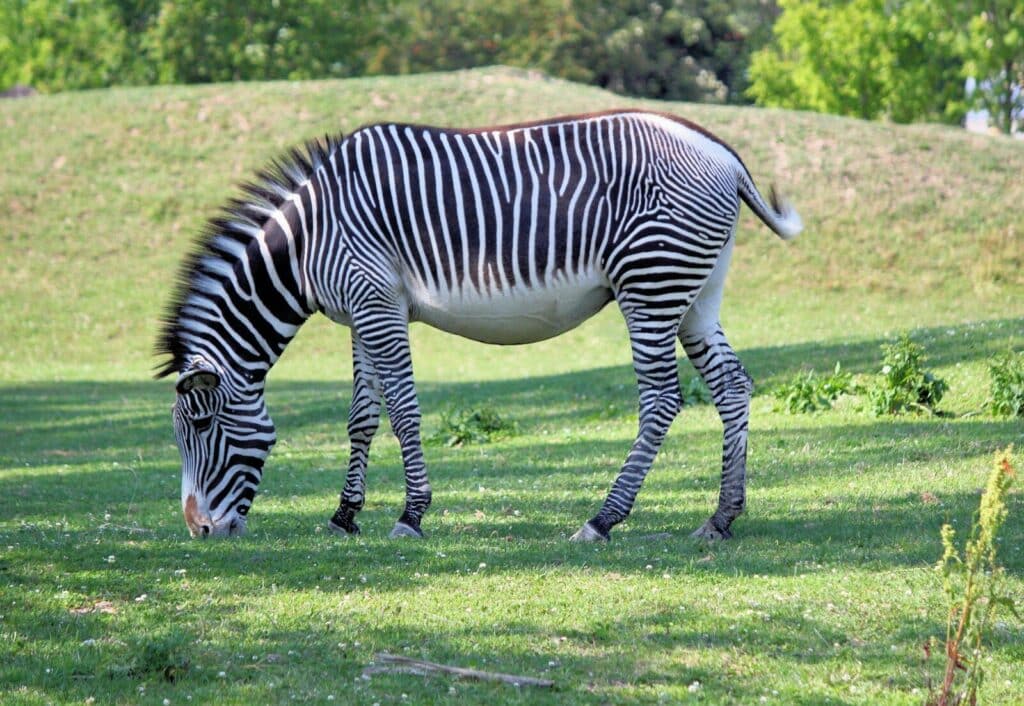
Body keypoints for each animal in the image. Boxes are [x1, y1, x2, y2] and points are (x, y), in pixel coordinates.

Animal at [156, 109, 801, 542]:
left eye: (203, 425)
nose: (197, 530)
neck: (306, 241)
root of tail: (723, 155)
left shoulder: (378, 305)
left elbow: (403, 411)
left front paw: (411, 514)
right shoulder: (360, 315)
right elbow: (362, 418)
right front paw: (344, 516)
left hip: (651, 283)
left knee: (663, 398)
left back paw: (603, 519)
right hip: (696, 292)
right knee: (732, 386)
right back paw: (721, 517)